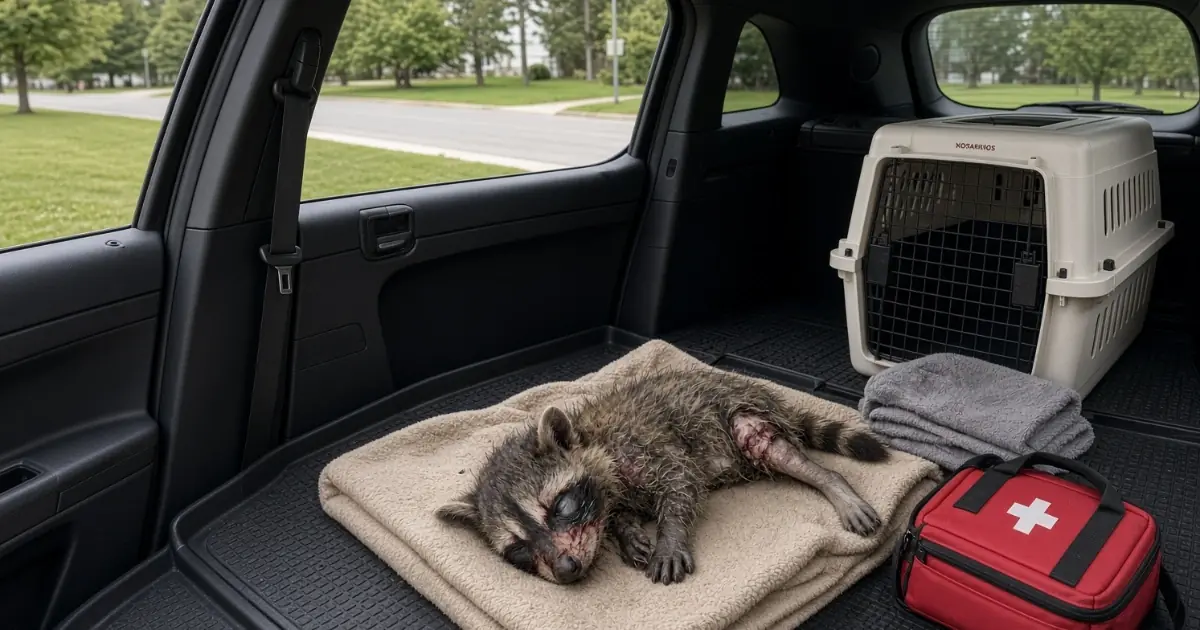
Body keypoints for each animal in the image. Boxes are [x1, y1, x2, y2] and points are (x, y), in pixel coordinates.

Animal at [435, 365, 889, 586]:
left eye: (560, 506)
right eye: (518, 548)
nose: (565, 570)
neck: (591, 440)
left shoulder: (645, 446)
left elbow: (681, 484)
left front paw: (668, 537)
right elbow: (620, 515)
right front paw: (626, 530)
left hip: (741, 412)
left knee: (768, 445)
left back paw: (831, 481)